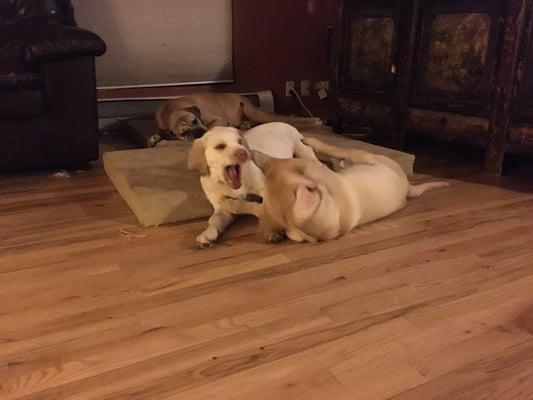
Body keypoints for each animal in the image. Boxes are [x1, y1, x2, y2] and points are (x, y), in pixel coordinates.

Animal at [154, 92, 320, 141]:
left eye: (195, 121)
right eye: (184, 133)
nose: (199, 133)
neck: (170, 111)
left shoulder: (217, 119)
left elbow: (211, 126)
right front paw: (154, 138)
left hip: (254, 112)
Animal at [187, 122, 374, 247]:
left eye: (240, 142)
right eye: (220, 146)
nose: (244, 153)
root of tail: (282, 122)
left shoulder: (264, 188)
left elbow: (265, 208)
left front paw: (273, 231)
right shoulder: (221, 206)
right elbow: (215, 219)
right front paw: (207, 235)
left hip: (303, 151)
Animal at [220, 138, 448, 244]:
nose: (249, 152)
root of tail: (408, 187)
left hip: (366, 157)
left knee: (338, 152)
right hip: (365, 158)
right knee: (339, 154)